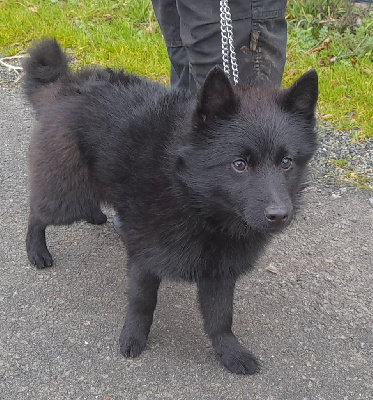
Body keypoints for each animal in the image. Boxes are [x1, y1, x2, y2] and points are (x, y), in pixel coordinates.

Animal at [22, 38, 316, 376]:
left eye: (286, 162)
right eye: (239, 164)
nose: (279, 215)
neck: (194, 199)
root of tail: (66, 86)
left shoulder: (220, 270)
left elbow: (221, 318)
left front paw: (229, 352)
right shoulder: (145, 259)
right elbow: (142, 303)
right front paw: (133, 338)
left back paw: (96, 215)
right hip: (67, 196)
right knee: (37, 213)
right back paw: (36, 250)